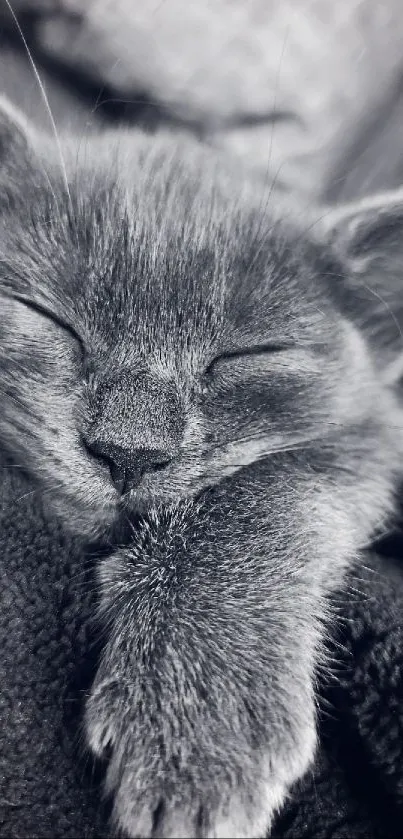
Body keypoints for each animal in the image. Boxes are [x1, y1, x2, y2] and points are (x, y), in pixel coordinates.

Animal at [0, 95, 403, 836]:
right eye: (49, 316)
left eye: (247, 355)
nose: (127, 450)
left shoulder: (374, 435)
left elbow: (269, 487)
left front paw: (196, 711)